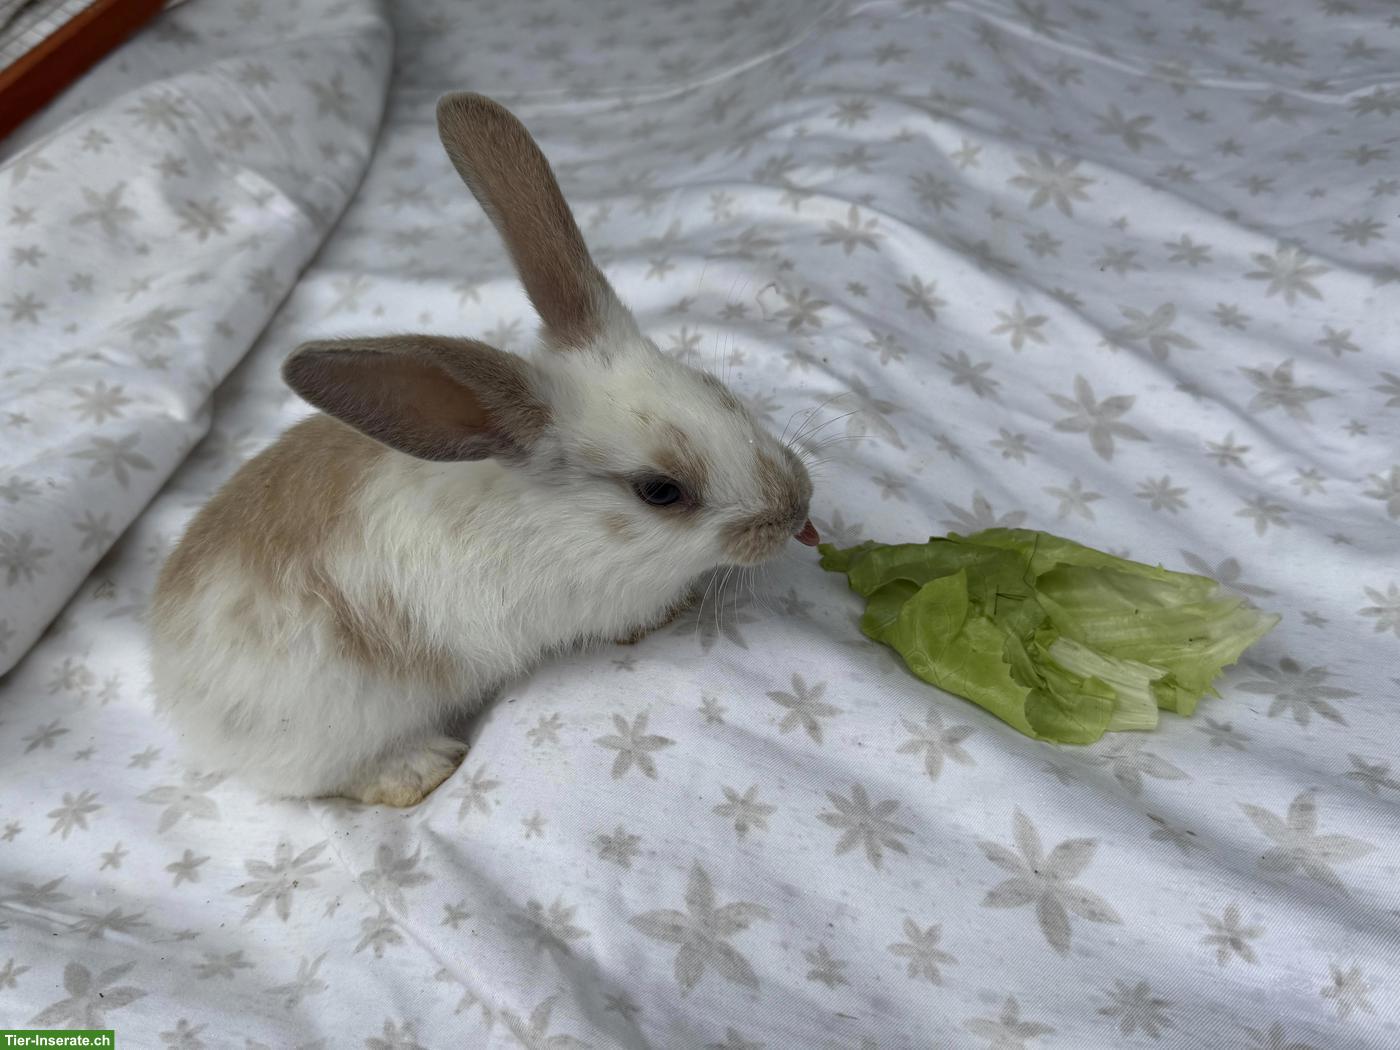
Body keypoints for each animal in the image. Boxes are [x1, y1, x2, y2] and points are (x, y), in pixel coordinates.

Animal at [148, 93, 819, 807]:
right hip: (336, 722)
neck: (561, 519)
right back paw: (421, 769)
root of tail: (176, 685)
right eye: (660, 492)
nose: (796, 509)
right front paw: (673, 610)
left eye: (716, 388)